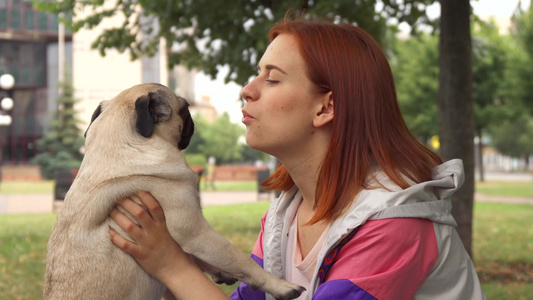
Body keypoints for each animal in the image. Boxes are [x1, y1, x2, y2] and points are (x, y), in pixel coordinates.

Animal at [43, 82, 304, 300]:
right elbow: (239, 258)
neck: (120, 151)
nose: (193, 119)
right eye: (185, 108)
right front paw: (281, 286)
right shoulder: (196, 231)